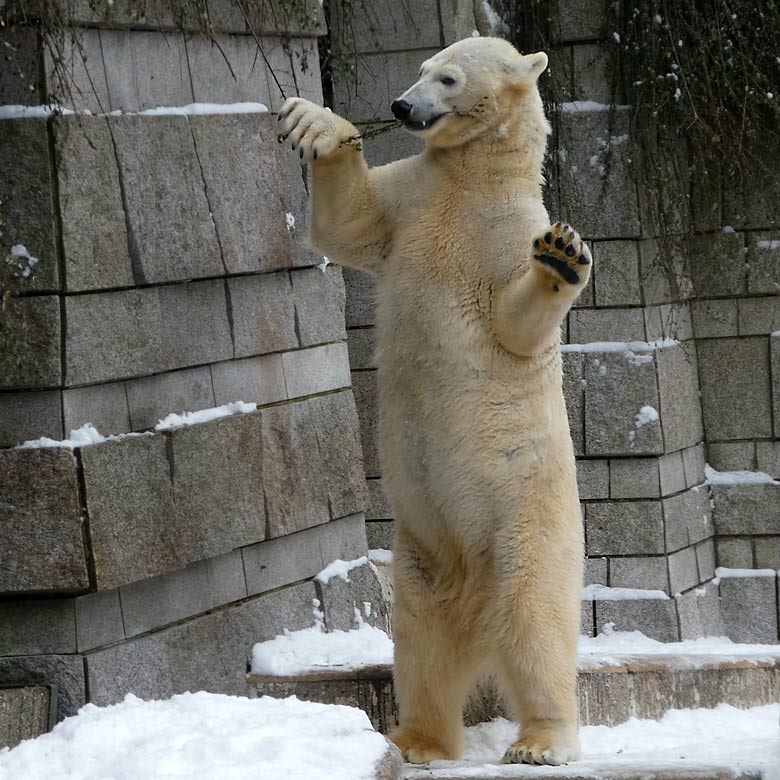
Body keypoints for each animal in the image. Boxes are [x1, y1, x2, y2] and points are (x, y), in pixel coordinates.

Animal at [280, 36, 592, 768]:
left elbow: (514, 326)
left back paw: (541, 741)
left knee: (534, 621)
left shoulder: (505, 232)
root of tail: (476, 604)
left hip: (527, 520)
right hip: (421, 553)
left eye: (447, 78)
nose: (399, 105)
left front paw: (563, 259)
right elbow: (351, 225)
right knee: (422, 645)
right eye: (420, 69)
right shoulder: (415, 200)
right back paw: (416, 738)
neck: (475, 178)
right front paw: (316, 125)